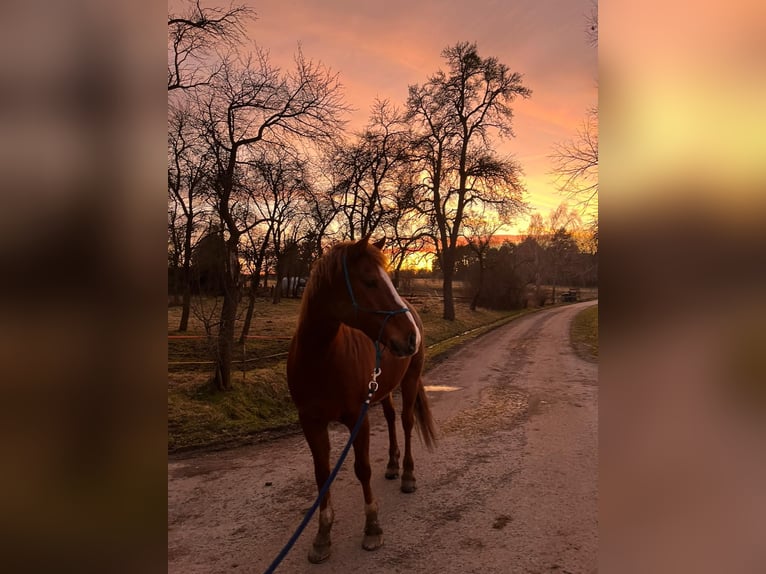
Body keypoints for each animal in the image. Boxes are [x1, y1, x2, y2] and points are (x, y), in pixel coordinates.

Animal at [286, 235, 437, 564]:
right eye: (370, 281)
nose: (411, 337)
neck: (322, 359)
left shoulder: (359, 418)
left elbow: (362, 468)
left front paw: (372, 528)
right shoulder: (311, 423)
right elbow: (322, 475)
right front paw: (322, 536)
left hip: (409, 381)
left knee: (406, 422)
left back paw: (407, 475)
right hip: (384, 388)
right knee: (392, 419)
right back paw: (393, 465)